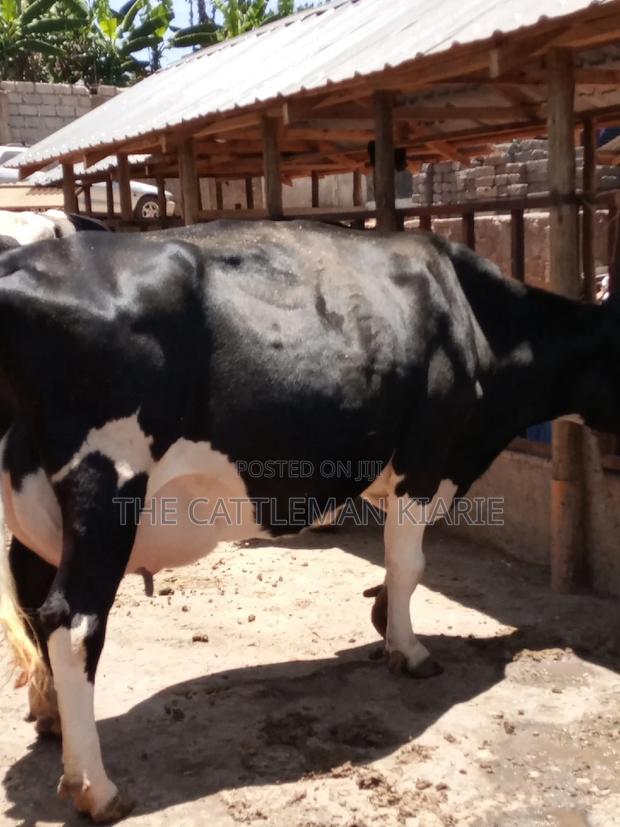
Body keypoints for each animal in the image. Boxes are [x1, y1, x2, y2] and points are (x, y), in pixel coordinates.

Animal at [1, 219, 619, 822]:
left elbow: (395, 565)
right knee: (72, 620)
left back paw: (50, 717)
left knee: (30, 594)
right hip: (106, 486)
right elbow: (409, 563)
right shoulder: (425, 456)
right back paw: (96, 787)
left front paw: (382, 618)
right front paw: (409, 650)